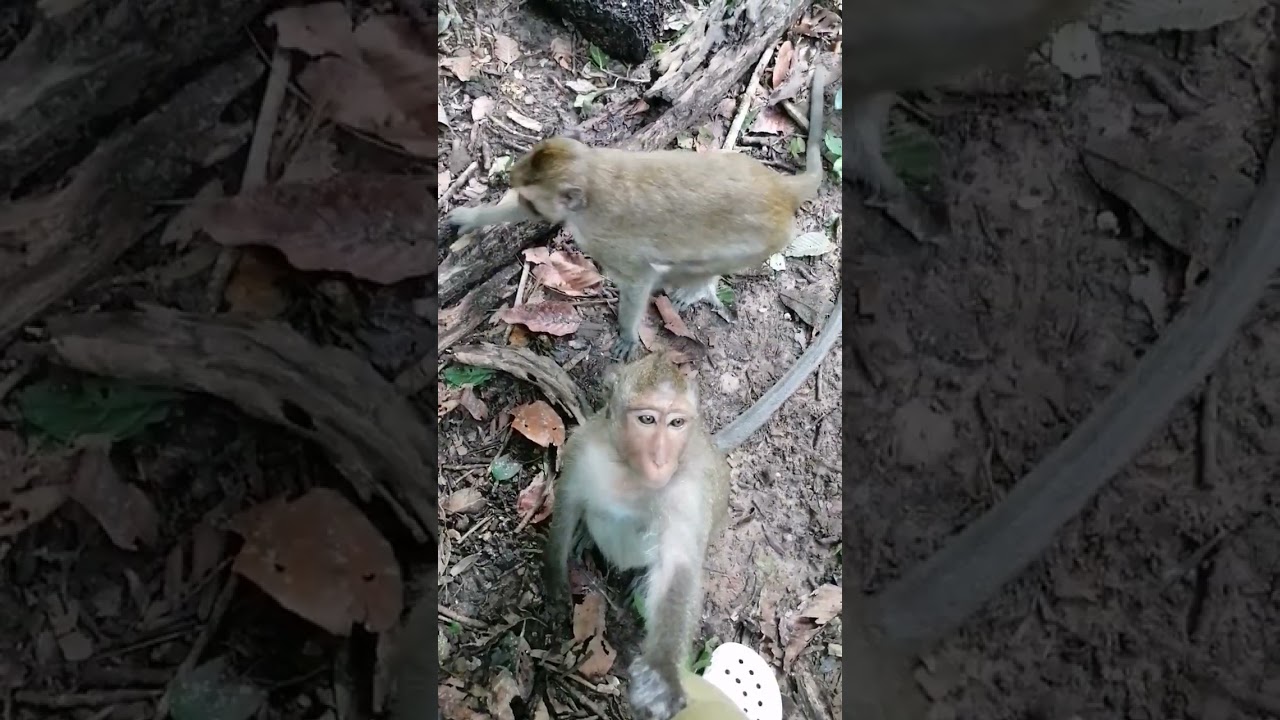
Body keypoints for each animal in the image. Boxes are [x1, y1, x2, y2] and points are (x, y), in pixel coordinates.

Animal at [444, 64, 831, 363]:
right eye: (522, 194)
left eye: (532, 203)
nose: (513, 188)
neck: (593, 181)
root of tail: (779, 188)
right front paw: (472, 218)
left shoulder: (607, 242)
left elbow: (639, 278)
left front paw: (628, 333)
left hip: (766, 239)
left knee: (707, 262)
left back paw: (695, 285)